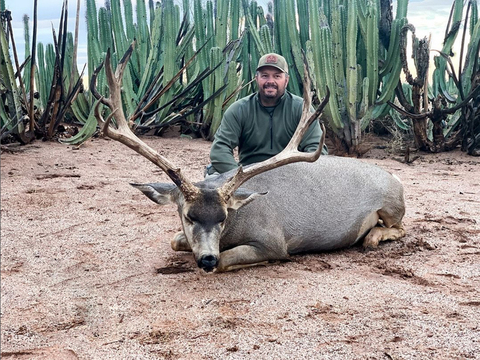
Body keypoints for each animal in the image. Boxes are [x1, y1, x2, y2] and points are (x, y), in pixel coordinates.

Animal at [93, 46, 404, 274]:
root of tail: (396, 178)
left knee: (398, 227)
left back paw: (372, 237)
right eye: (188, 215)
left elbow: (229, 260)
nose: (207, 259)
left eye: (223, 217)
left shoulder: (274, 242)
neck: (236, 224)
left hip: (391, 207)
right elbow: (174, 240)